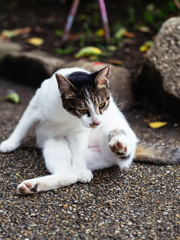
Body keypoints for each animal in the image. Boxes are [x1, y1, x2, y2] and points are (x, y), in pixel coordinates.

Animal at [0, 64, 180, 194]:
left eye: (102, 105)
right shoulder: (34, 106)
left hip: (112, 137)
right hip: (55, 146)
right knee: (69, 175)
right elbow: (21, 127)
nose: (97, 122)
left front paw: (81, 169)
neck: (64, 114)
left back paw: (119, 146)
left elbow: (79, 149)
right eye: (82, 110)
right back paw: (33, 186)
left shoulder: (80, 131)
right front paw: (9, 143)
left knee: (119, 151)